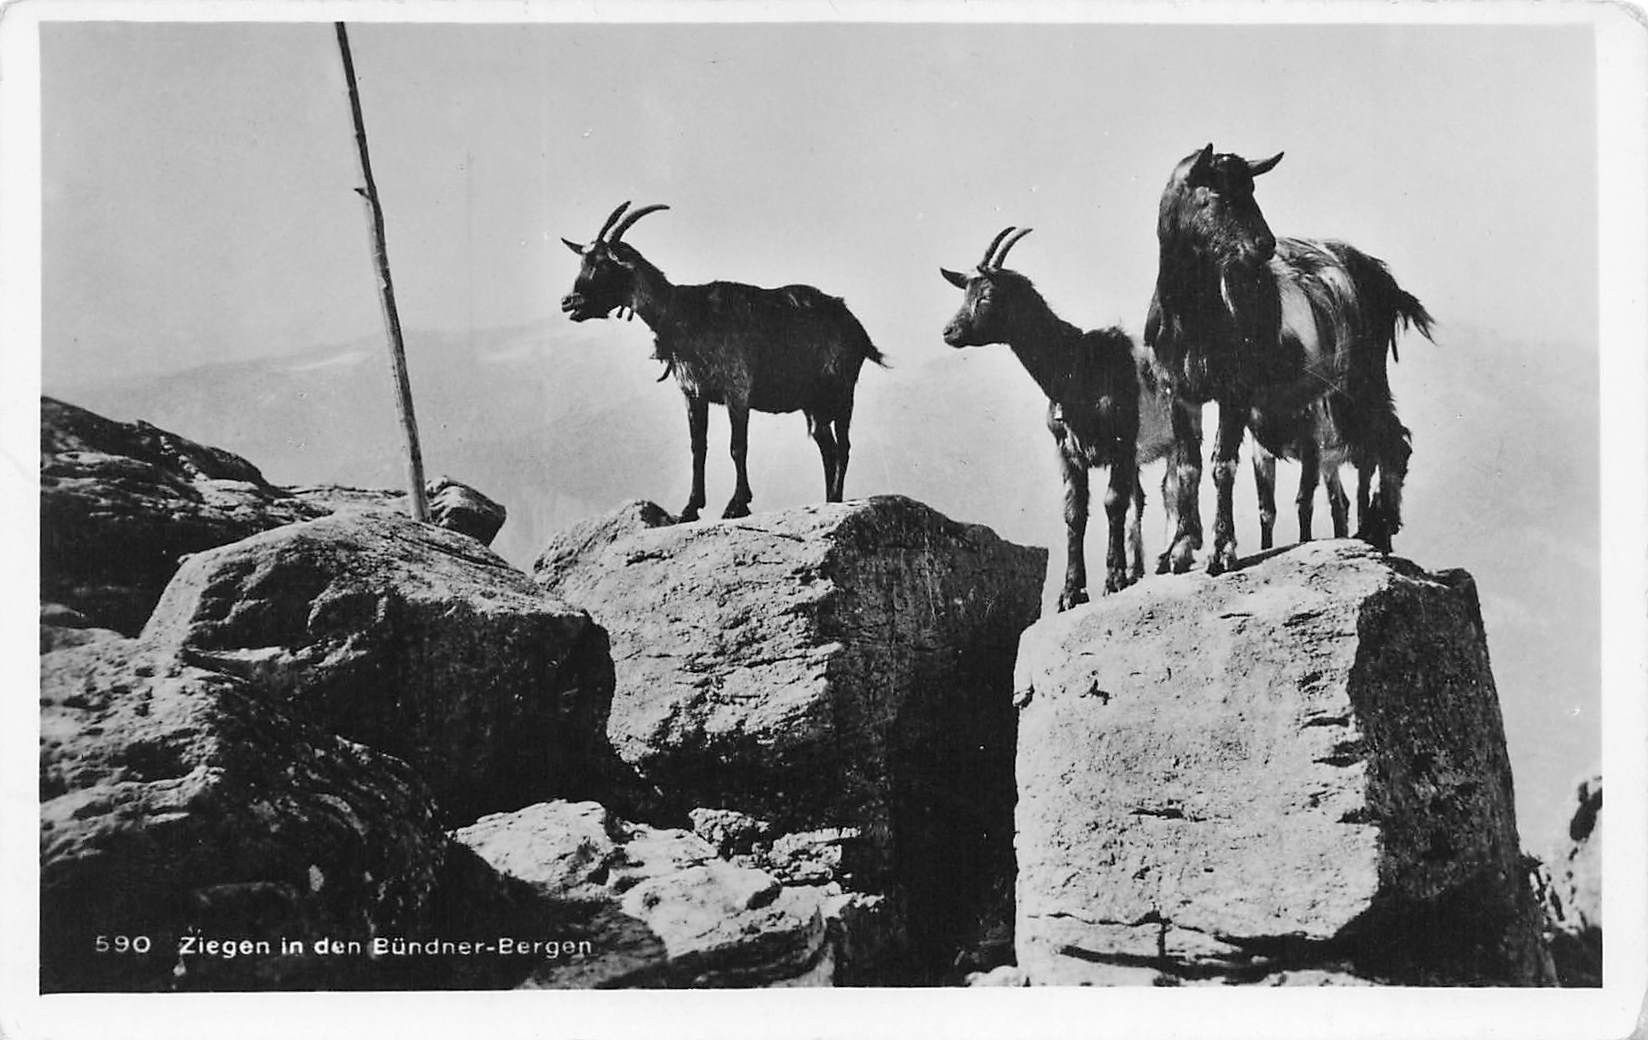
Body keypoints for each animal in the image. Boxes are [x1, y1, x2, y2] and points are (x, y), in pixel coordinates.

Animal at [561, 201, 886, 521]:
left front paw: (737, 505)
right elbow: (698, 447)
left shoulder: (737, 389)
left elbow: (737, 446)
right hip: (814, 405)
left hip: (842, 390)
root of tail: (857, 329)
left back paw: (837, 498)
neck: (684, 314)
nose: (568, 302)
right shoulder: (693, 392)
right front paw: (690, 508)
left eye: (604, 264)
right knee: (827, 446)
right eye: (583, 262)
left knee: (843, 445)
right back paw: (830, 500)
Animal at [941, 226, 1149, 608]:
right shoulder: (1067, 451)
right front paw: (1071, 592)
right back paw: (1142, 570)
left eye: (987, 296)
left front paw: (1113, 580)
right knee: (1141, 498)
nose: (949, 331)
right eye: (965, 293)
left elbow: (1113, 503)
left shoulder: (1122, 444)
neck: (1078, 367)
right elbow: (1074, 513)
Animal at [1145, 144, 1434, 575]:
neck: (1192, 314)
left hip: (1361, 379)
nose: (1264, 245)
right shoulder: (1179, 392)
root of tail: (1386, 282)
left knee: (1393, 441)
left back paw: (1378, 532)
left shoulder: (1235, 390)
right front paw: (1178, 551)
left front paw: (1222, 551)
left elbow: (1222, 465)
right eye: (1218, 195)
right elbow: (1187, 468)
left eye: (1251, 189)